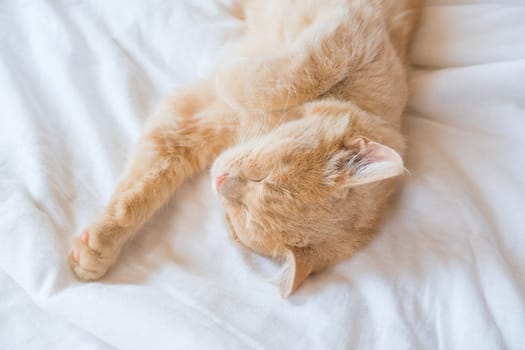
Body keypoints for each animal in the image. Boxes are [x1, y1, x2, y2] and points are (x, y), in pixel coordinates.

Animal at [69, 0, 422, 296]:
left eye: (240, 216)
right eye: (262, 176)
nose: (220, 181)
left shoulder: (187, 125)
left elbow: (143, 190)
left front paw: (100, 245)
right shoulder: (350, 24)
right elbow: (293, 74)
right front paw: (233, 71)